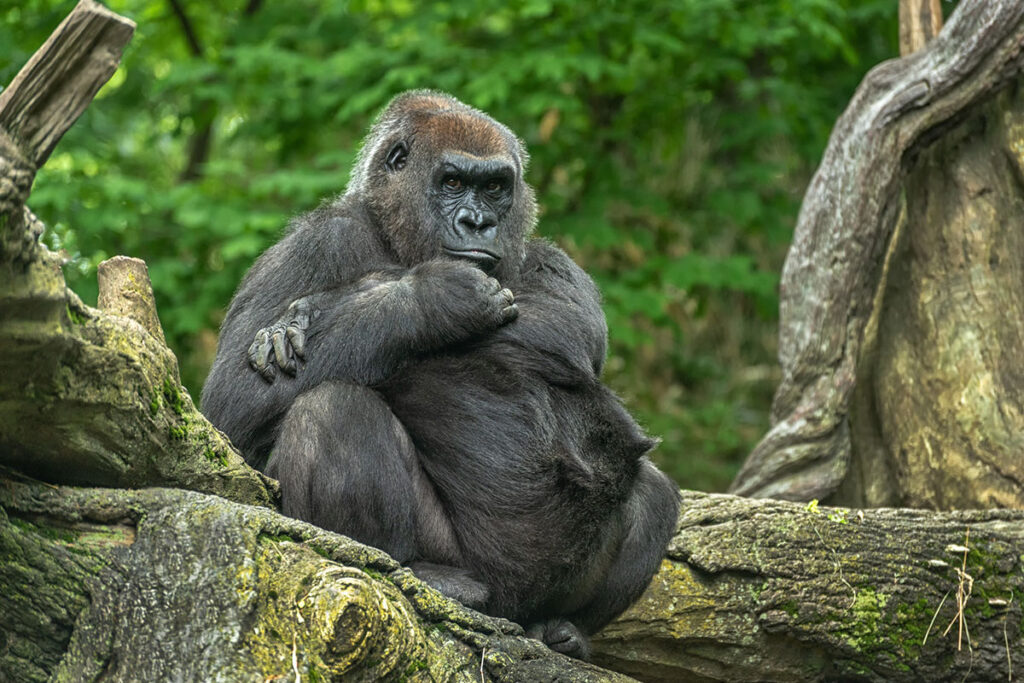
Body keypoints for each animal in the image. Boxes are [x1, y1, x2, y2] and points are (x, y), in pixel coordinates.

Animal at [201, 91, 680, 659]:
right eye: (452, 183)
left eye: (494, 188)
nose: (478, 223)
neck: (396, 236)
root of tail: (507, 612)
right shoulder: (313, 244)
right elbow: (233, 408)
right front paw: (431, 298)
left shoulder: (549, 258)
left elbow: (569, 327)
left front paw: (321, 309)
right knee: (332, 408)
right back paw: (416, 572)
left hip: (530, 595)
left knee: (654, 489)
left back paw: (563, 629)